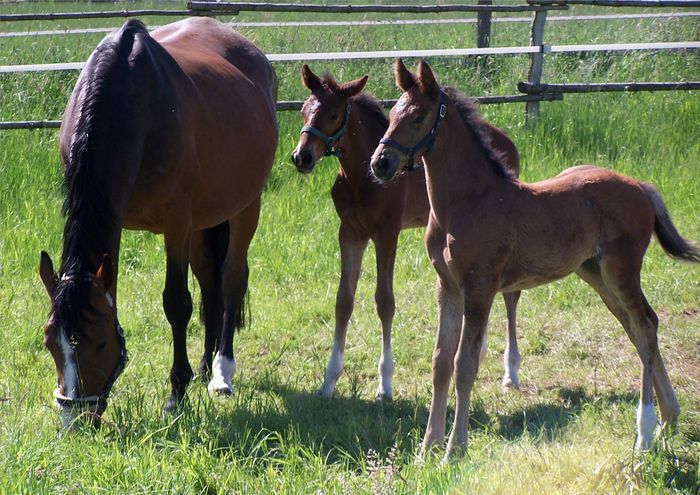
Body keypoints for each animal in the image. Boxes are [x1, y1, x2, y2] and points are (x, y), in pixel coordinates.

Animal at [36, 17, 276, 424]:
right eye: (50, 342)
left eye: (99, 342)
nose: (76, 419)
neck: (134, 101)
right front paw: (187, 378)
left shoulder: (177, 221)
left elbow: (176, 303)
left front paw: (176, 393)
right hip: (203, 222)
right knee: (210, 283)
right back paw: (205, 364)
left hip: (244, 206)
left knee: (231, 277)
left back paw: (221, 371)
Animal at [288, 66, 524, 402]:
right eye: (304, 111)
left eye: (333, 115)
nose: (302, 157)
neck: (360, 177)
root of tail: (508, 141)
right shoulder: (350, 233)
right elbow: (343, 301)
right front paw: (329, 380)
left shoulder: (387, 233)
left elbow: (384, 301)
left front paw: (384, 384)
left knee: (511, 294)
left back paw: (510, 372)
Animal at [370, 59, 696, 462]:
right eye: (391, 116)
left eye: (417, 117)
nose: (380, 163)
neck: (467, 202)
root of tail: (640, 187)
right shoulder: (447, 287)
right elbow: (440, 362)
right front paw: (427, 446)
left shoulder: (480, 287)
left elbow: (465, 364)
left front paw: (454, 449)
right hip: (596, 274)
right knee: (638, 329)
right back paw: (669, 418)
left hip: (621, 270)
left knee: (646, 324)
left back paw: (645, 434)